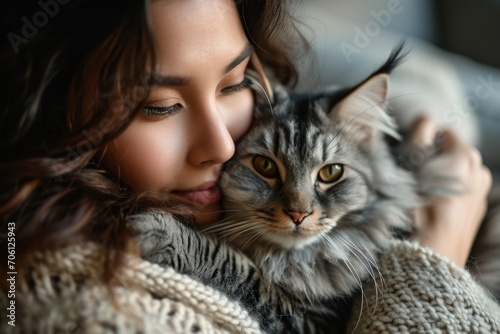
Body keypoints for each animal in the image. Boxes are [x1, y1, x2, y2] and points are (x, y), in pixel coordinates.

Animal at [131, 45, 420, 334]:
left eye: (331, 172)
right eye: (265, 166)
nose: (298, 214)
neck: (290, 261)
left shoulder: (311, 319)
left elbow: (236, 266)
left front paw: (158, 230)